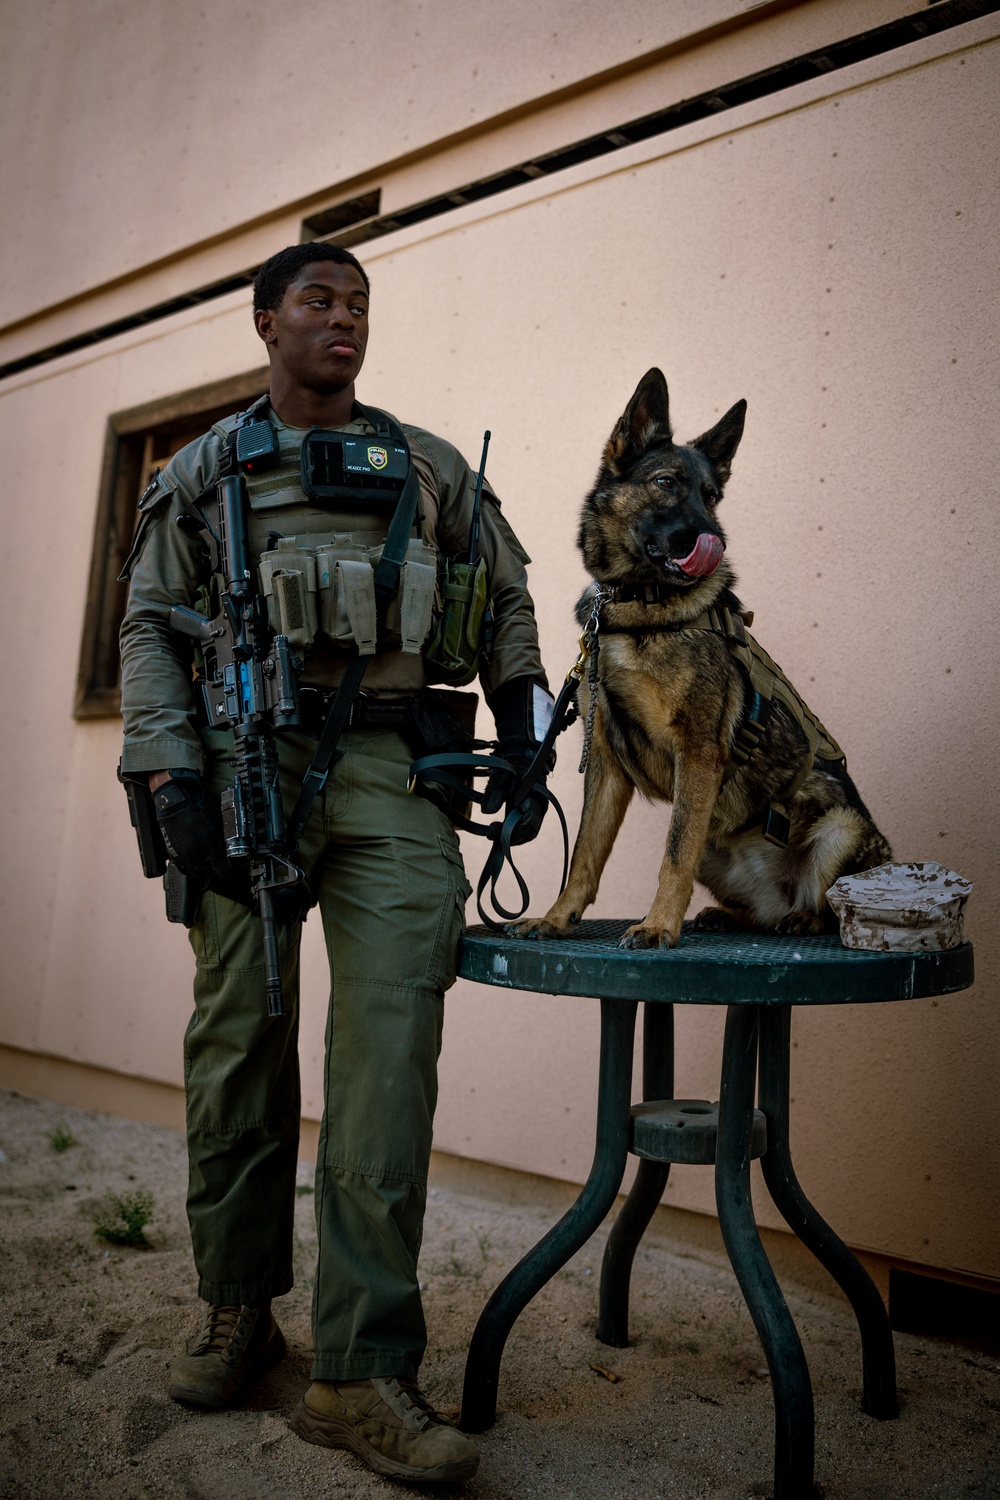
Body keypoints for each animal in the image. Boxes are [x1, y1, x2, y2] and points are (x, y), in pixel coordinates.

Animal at [515, 366, 893, 948]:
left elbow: (672, 856)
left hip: (841, 828)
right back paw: (735, 915)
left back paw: (806, 917)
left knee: (831, 906)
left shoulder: (697, 753)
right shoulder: (605, 761)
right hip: (717, 846)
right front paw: (558, 917)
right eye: (665, 483)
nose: (715, 538)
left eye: (712, 496)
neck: (639, 604)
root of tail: (781, 896)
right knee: (751, 905)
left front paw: (657, 926)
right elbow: (584, 852)